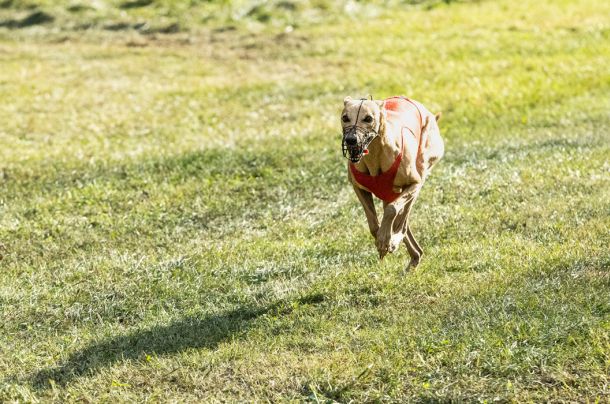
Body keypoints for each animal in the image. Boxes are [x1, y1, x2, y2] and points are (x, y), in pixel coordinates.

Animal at [341, 96, 444, 268]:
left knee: (402, 221)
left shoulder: (414, 184)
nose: (351, 140)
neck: (375, 156)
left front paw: (386, 241)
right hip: (390, 194)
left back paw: (396, 241)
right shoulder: (358, 188)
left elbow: (392, 210)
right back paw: (413, 256)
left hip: (419, 175)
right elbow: (374, 224)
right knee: (403, 226)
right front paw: (382, 239)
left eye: (368, 118)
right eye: (344, 118)